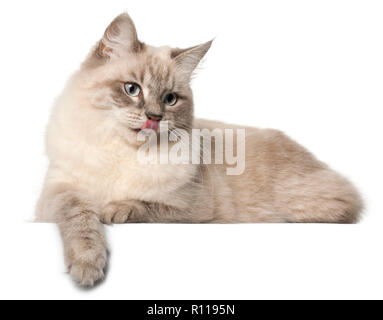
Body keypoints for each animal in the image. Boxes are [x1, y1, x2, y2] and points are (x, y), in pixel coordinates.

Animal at [35, 13, 364, 288]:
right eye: (132, 89)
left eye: (170, 99)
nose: (154, 117)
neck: (124, 152)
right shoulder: (57, 194)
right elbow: (81, 216)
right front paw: (87, 263)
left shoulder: (190, 209)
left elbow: (143, 205)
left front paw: (114, 210)